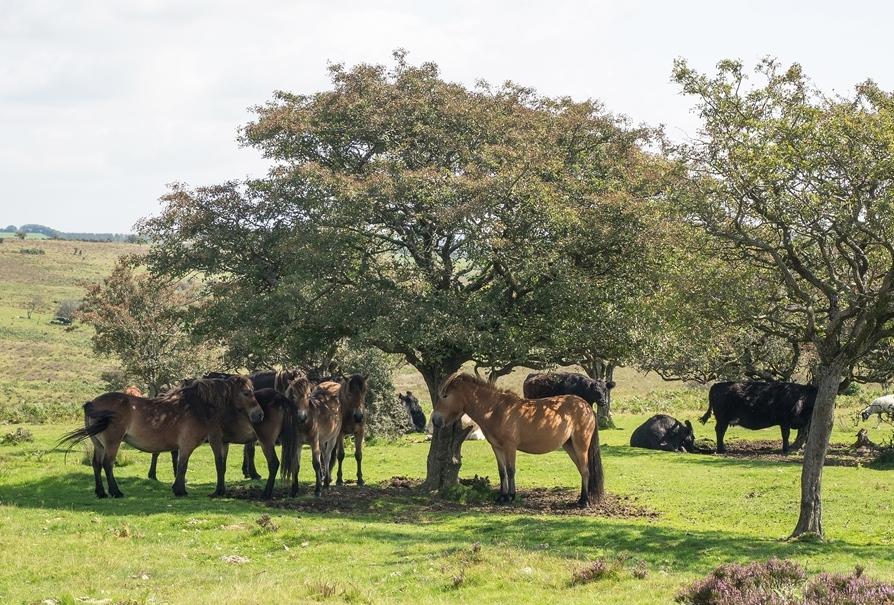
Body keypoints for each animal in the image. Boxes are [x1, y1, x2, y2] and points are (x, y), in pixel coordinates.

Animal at [60, 376, 260, 498]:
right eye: (246, 392)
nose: (259, 414)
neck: (195, 406)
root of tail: (93, 403)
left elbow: (180, 466)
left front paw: (177, 488)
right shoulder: (186, 445)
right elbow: (182, 466)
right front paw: (180, 490)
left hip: (99, 444)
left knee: (96, 465)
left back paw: (101, 493)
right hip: (112, 443)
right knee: (107, 465)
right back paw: (116, 492)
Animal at [430, 372, 604, 504]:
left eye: (445, 396)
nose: (435, 420)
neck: (496, 410)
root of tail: (587, 407)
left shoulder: (510, 447)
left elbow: (511, 470)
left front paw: (511, 496)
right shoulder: (497, 447)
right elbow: (502, 472)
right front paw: (502, 496)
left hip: (580, 445)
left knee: (585, 470)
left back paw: (584, 501)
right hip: (569, 445)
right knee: (582, 470)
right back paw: (582, 499)